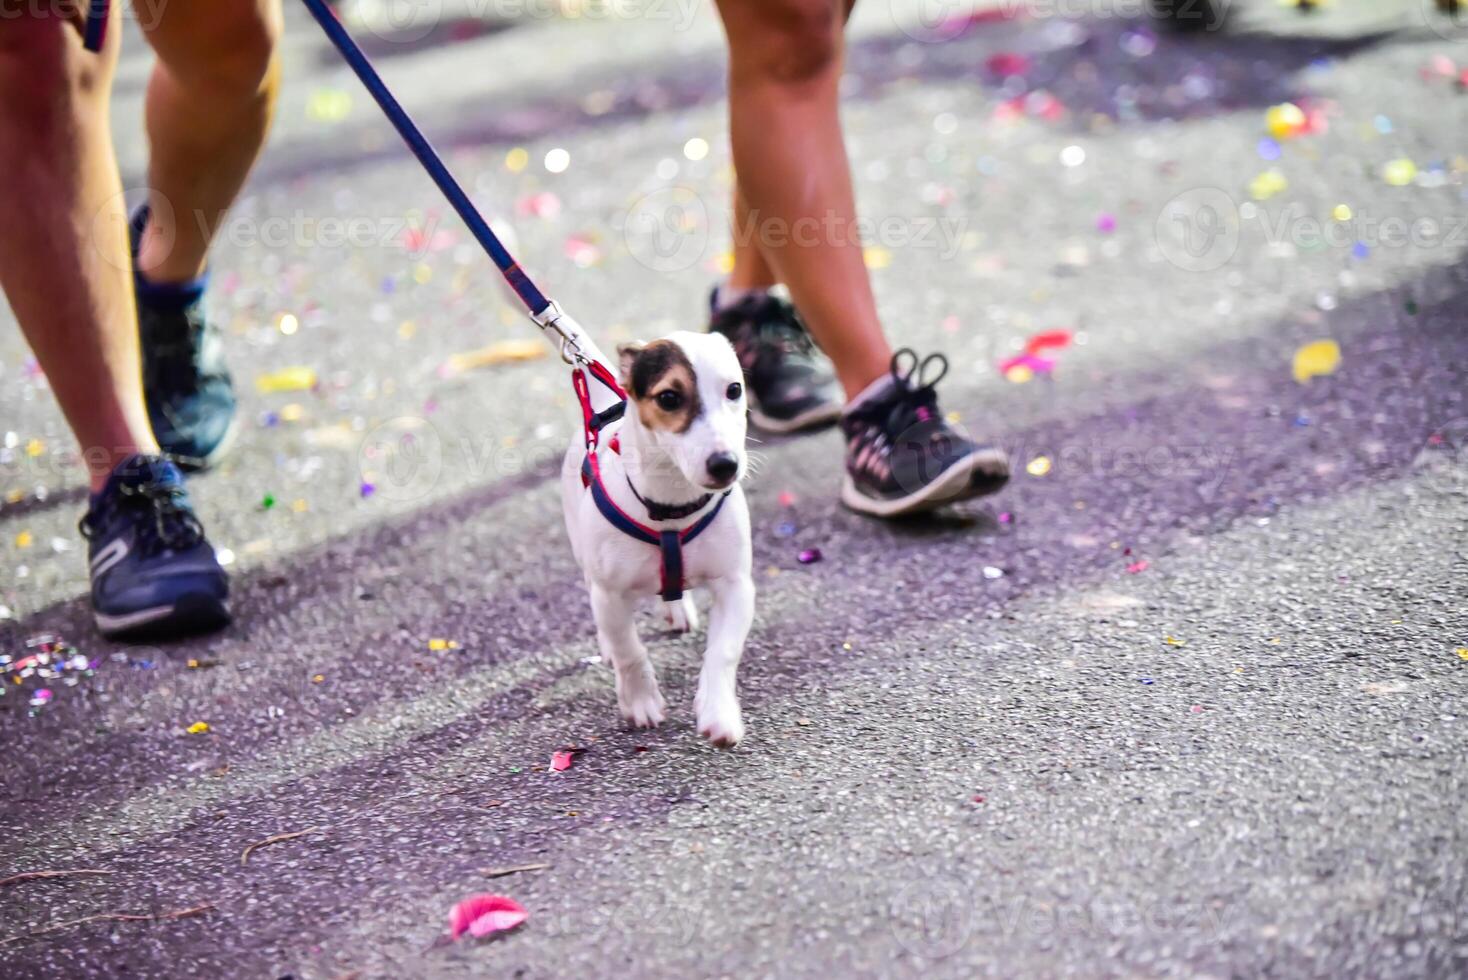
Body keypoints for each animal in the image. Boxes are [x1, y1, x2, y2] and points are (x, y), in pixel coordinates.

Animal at [554, 333, 751, 745]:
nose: (726, 464)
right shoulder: (610, 594)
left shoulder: (736, 585)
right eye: (669, 398)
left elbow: (723, 651)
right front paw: (640, 701)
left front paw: (718, 711)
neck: (672, 508)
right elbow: (629, 650)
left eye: (734, 389)